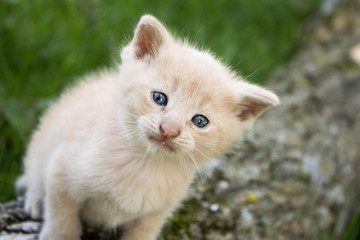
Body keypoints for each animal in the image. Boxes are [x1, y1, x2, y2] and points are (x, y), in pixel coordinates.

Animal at [16, 15, 278, 240]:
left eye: (200, 121)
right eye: (159, 98)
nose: (169, 130)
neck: (146, 164)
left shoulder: (157, 213)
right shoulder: (61, 173)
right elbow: (62, 221)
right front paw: (56, 230)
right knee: (33, 171)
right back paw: (35, 200)